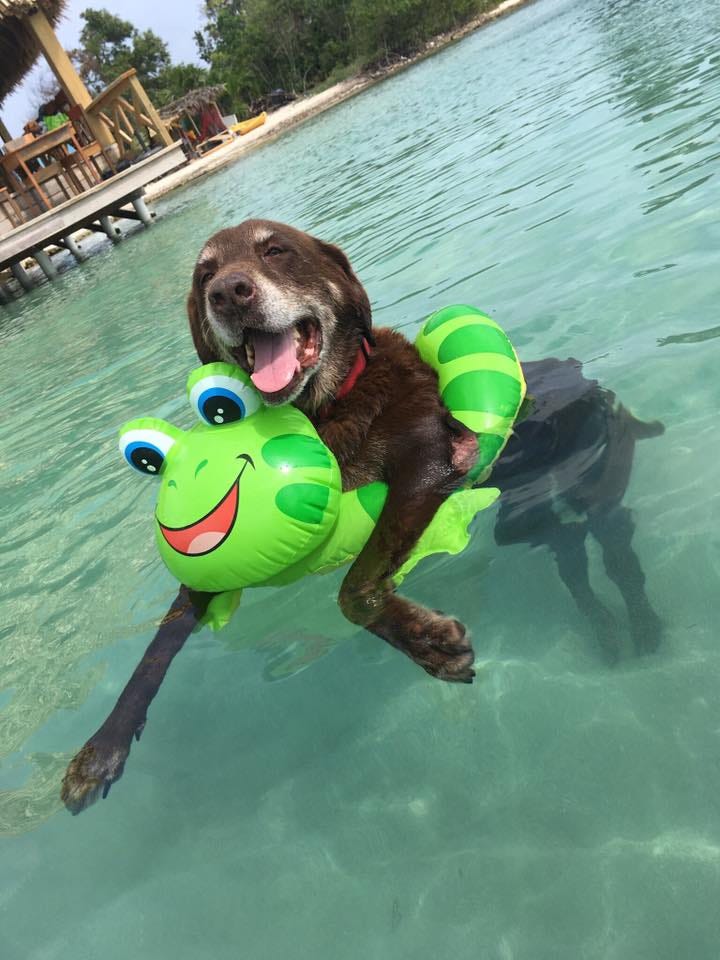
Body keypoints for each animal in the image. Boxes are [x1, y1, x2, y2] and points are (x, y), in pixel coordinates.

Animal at [63, 219, 664, 808]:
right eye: (204, 274)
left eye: (275, 251)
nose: (228, 293)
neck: (325, 412)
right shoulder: (203, 575)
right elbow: (155, 651)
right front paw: (100, 750)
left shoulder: (430, 464)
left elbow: (353, 589)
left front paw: (427, 642)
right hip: (531, 520)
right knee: (572, 558)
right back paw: (606, 631)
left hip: (595, 487)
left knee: (617, 548)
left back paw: (643, 628)